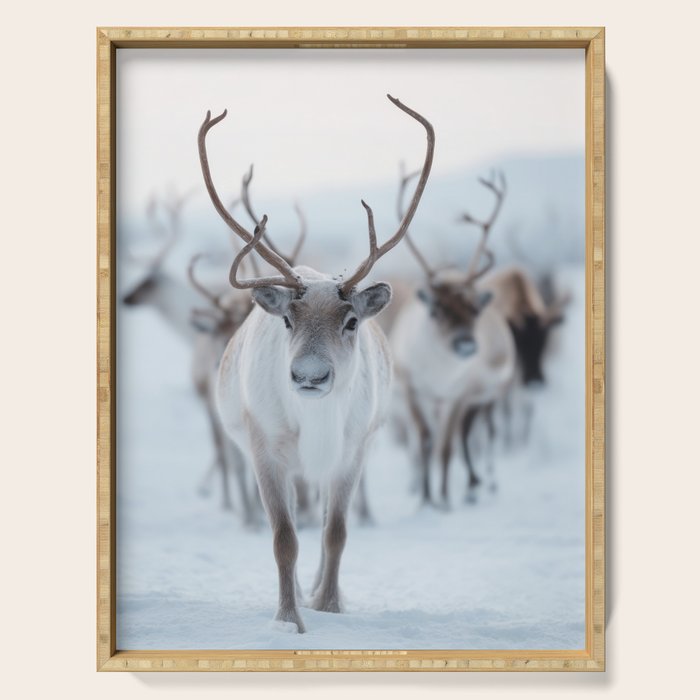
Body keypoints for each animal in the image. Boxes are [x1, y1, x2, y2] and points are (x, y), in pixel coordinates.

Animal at [197, 94, 434, 632]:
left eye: (351, 321)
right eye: (287, 319)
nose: (309, 376)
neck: (315, 421)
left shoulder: (351, 451)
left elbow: (337, 533)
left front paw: (329, 606)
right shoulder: (265, 450)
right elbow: (285, 539)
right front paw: (290, 617)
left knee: (328, 526)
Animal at [390, 170, 516, 506]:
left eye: (474, 310)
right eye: (437, 310)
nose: (466, 344)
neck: (439, 373)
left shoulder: (457, 395)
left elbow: (446, 447)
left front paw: (444, 499)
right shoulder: (412, 390)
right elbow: (424, 440)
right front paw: (425, 499)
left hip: (485, 396)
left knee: (477, 434)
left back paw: (480, 482)